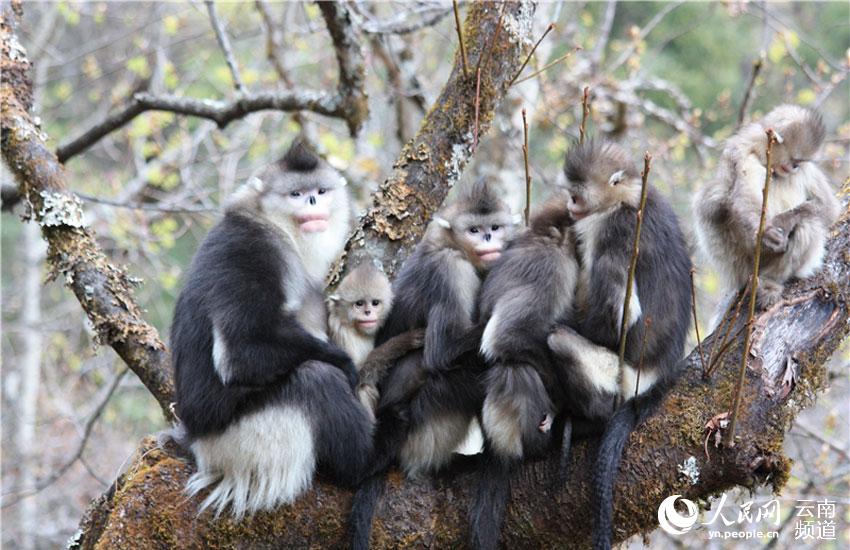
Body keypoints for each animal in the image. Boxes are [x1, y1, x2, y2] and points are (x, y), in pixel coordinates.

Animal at [171, 140, 372, 520]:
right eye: (296, 194)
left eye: (320, 191)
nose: (312, 203)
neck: (272, 224)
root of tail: (199, 444)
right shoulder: (252, 251)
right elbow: (241, 353)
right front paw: (344, 362)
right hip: (247, 440)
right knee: (315, 377)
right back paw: (368, 463)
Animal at [346, 181, 516, 550]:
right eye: (474, 230)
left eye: (494, 227)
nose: (488, 239)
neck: (451, 246)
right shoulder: (451, 271)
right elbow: (441, 351)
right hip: (424, 421)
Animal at [548, 142, 692, 550]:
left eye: (577, 194)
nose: (571, 205)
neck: (629, 199)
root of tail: (656, 379)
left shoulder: (620, 230)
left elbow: (616, 320)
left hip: (620, 380)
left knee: (561, 342)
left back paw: (588, 422)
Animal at [692, 105, 840, 316]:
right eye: (794, 159)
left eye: (799, 161)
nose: (795, 166)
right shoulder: (741, 148)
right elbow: (737, 195)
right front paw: (767, 232)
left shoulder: (807, 169)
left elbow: (829, 208)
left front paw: (783, 222)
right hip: (742, 260)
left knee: (808, 222)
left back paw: (771, 280)